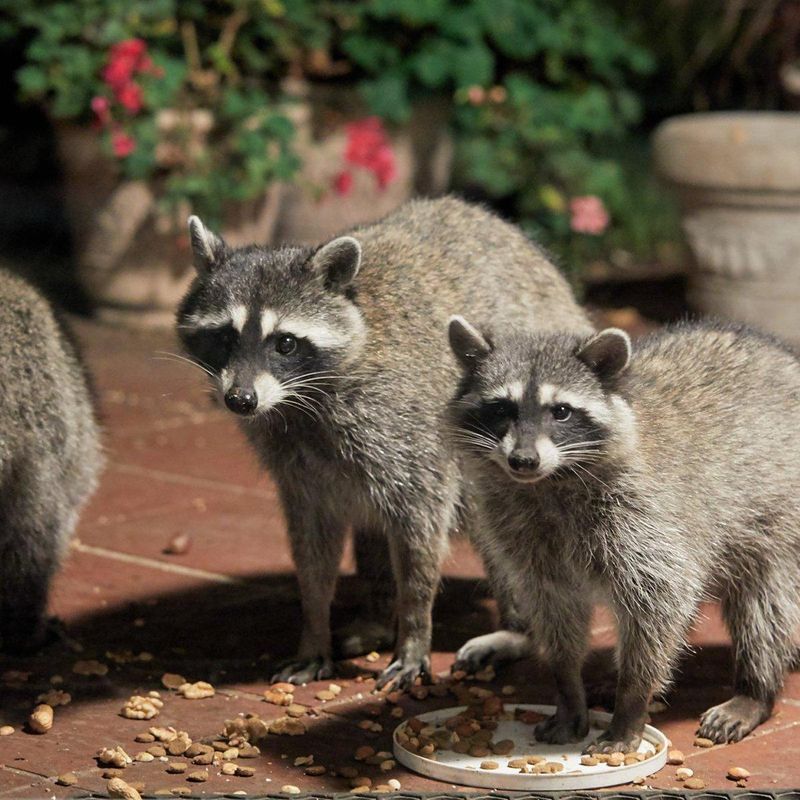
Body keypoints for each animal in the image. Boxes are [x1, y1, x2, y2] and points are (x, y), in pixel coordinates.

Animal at [176, 197, 591, 688]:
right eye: (225, 336)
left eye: (285, 344)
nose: (240, 400)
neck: (299, 401)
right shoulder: (296, 461)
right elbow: (312, 547)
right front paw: (314, 627)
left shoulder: (404, 429)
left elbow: (420, 530)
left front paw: (413, 629)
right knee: (370, 523)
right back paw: (375, 615)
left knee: (491, 524)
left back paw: (518, 630)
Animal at [448, 318, 800, 749]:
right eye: (501, 408)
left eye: (561, 412)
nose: (523, 460)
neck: (550, 482)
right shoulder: (526, 534)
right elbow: (554, 609)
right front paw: (568, 687)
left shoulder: (644, 518)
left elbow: (659, 601)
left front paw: (631, 702)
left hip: (777, 514)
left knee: (763, 604)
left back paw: (755, 688)